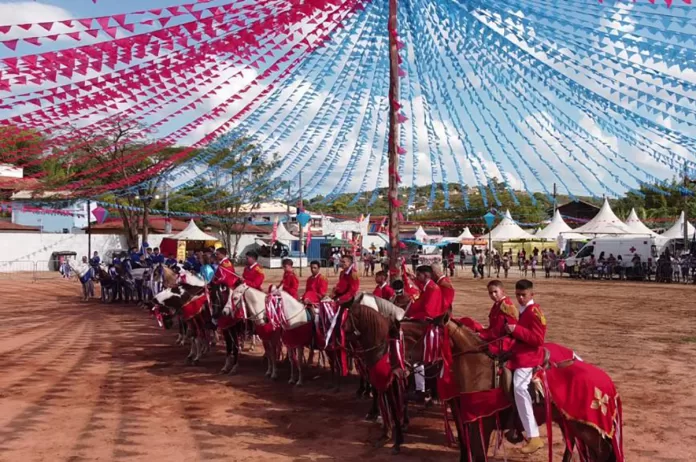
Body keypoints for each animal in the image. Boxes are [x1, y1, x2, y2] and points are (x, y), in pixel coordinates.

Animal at [446, 322, 624, 462]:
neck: (480, 370)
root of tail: (608, 382)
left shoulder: (483, 423)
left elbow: (478, 454)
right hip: (569, 422)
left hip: (586, 428)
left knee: (601, 451)